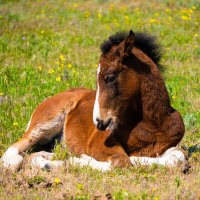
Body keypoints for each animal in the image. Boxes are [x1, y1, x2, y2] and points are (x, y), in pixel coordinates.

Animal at [1, 30, 186, 171]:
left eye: (109, 77)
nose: (99, 122)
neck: (152, 125)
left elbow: (178, 156)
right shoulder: (100, 143)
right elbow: (122, 161)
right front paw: (77, 160)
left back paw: (45, 158)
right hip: (45, 123)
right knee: (17, 147)